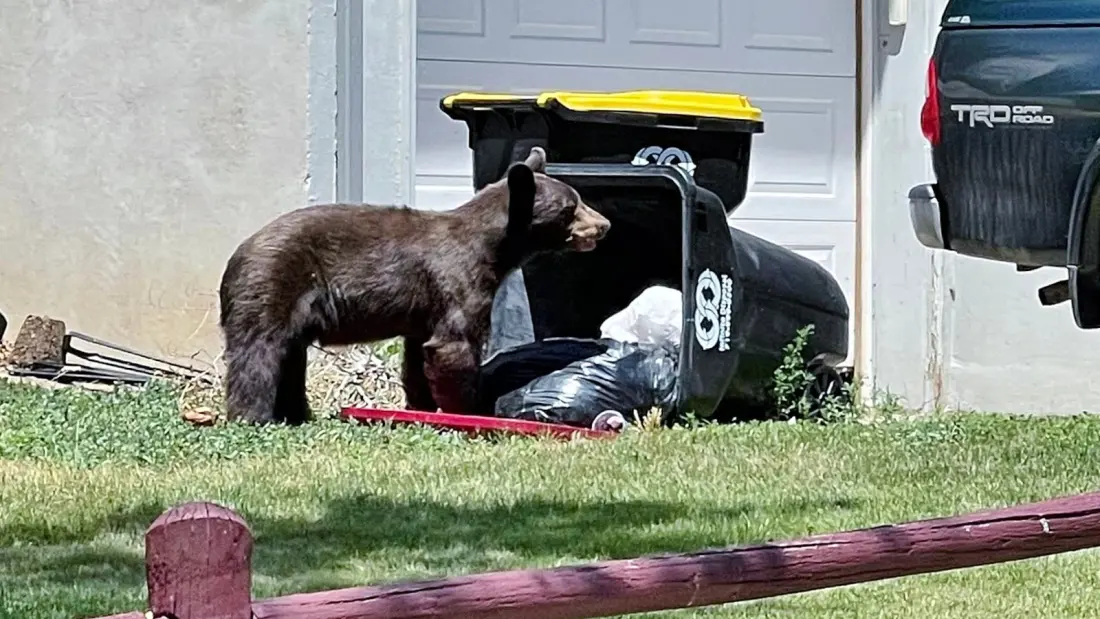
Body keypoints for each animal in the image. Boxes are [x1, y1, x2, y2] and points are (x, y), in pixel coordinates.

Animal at [217, 147, 611, 425]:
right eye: (571, 208)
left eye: (577, 199)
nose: (605, 224)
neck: (492, 249)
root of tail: (234, 258)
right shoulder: (458, 281)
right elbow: (454, 345)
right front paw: (470, 411)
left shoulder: (424, 309)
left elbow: (419, 357)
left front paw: (421, 406)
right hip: (272, 285)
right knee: (259, 354)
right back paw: (254, 417)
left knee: (289, 357)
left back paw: (295, 415)